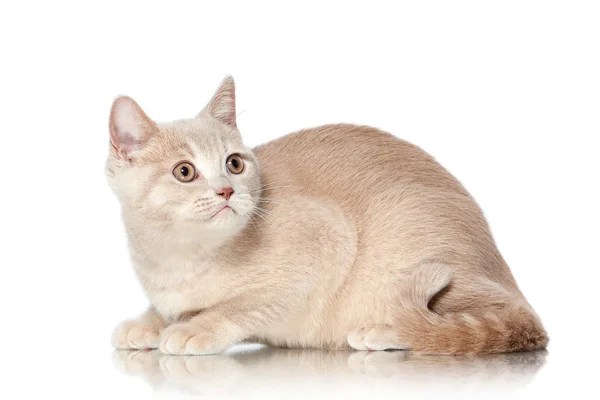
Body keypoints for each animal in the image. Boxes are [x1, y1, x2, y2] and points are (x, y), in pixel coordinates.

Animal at [106, 76, 548, 354]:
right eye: (185, 171)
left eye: (234, 163)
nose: (227, 190)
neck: (180, 258)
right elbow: (167, 308)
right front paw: (149, 321)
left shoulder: (327, 240)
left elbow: (243, 304)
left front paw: (195, 327)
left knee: (507, 320)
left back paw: (385, 330)